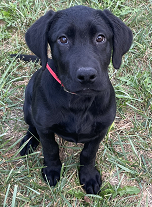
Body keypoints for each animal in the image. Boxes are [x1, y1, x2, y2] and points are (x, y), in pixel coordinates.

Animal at [17, 5, 132, 195]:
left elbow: (88, 153)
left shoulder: (101, 130)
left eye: (100, 38)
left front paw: (88, 176)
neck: (79, 102)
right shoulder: (45, 128)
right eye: (63, 39)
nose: (86, 75)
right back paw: (28, 142)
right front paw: (52, 170)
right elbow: (50, 149)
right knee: (32, 126)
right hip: (28, 107)